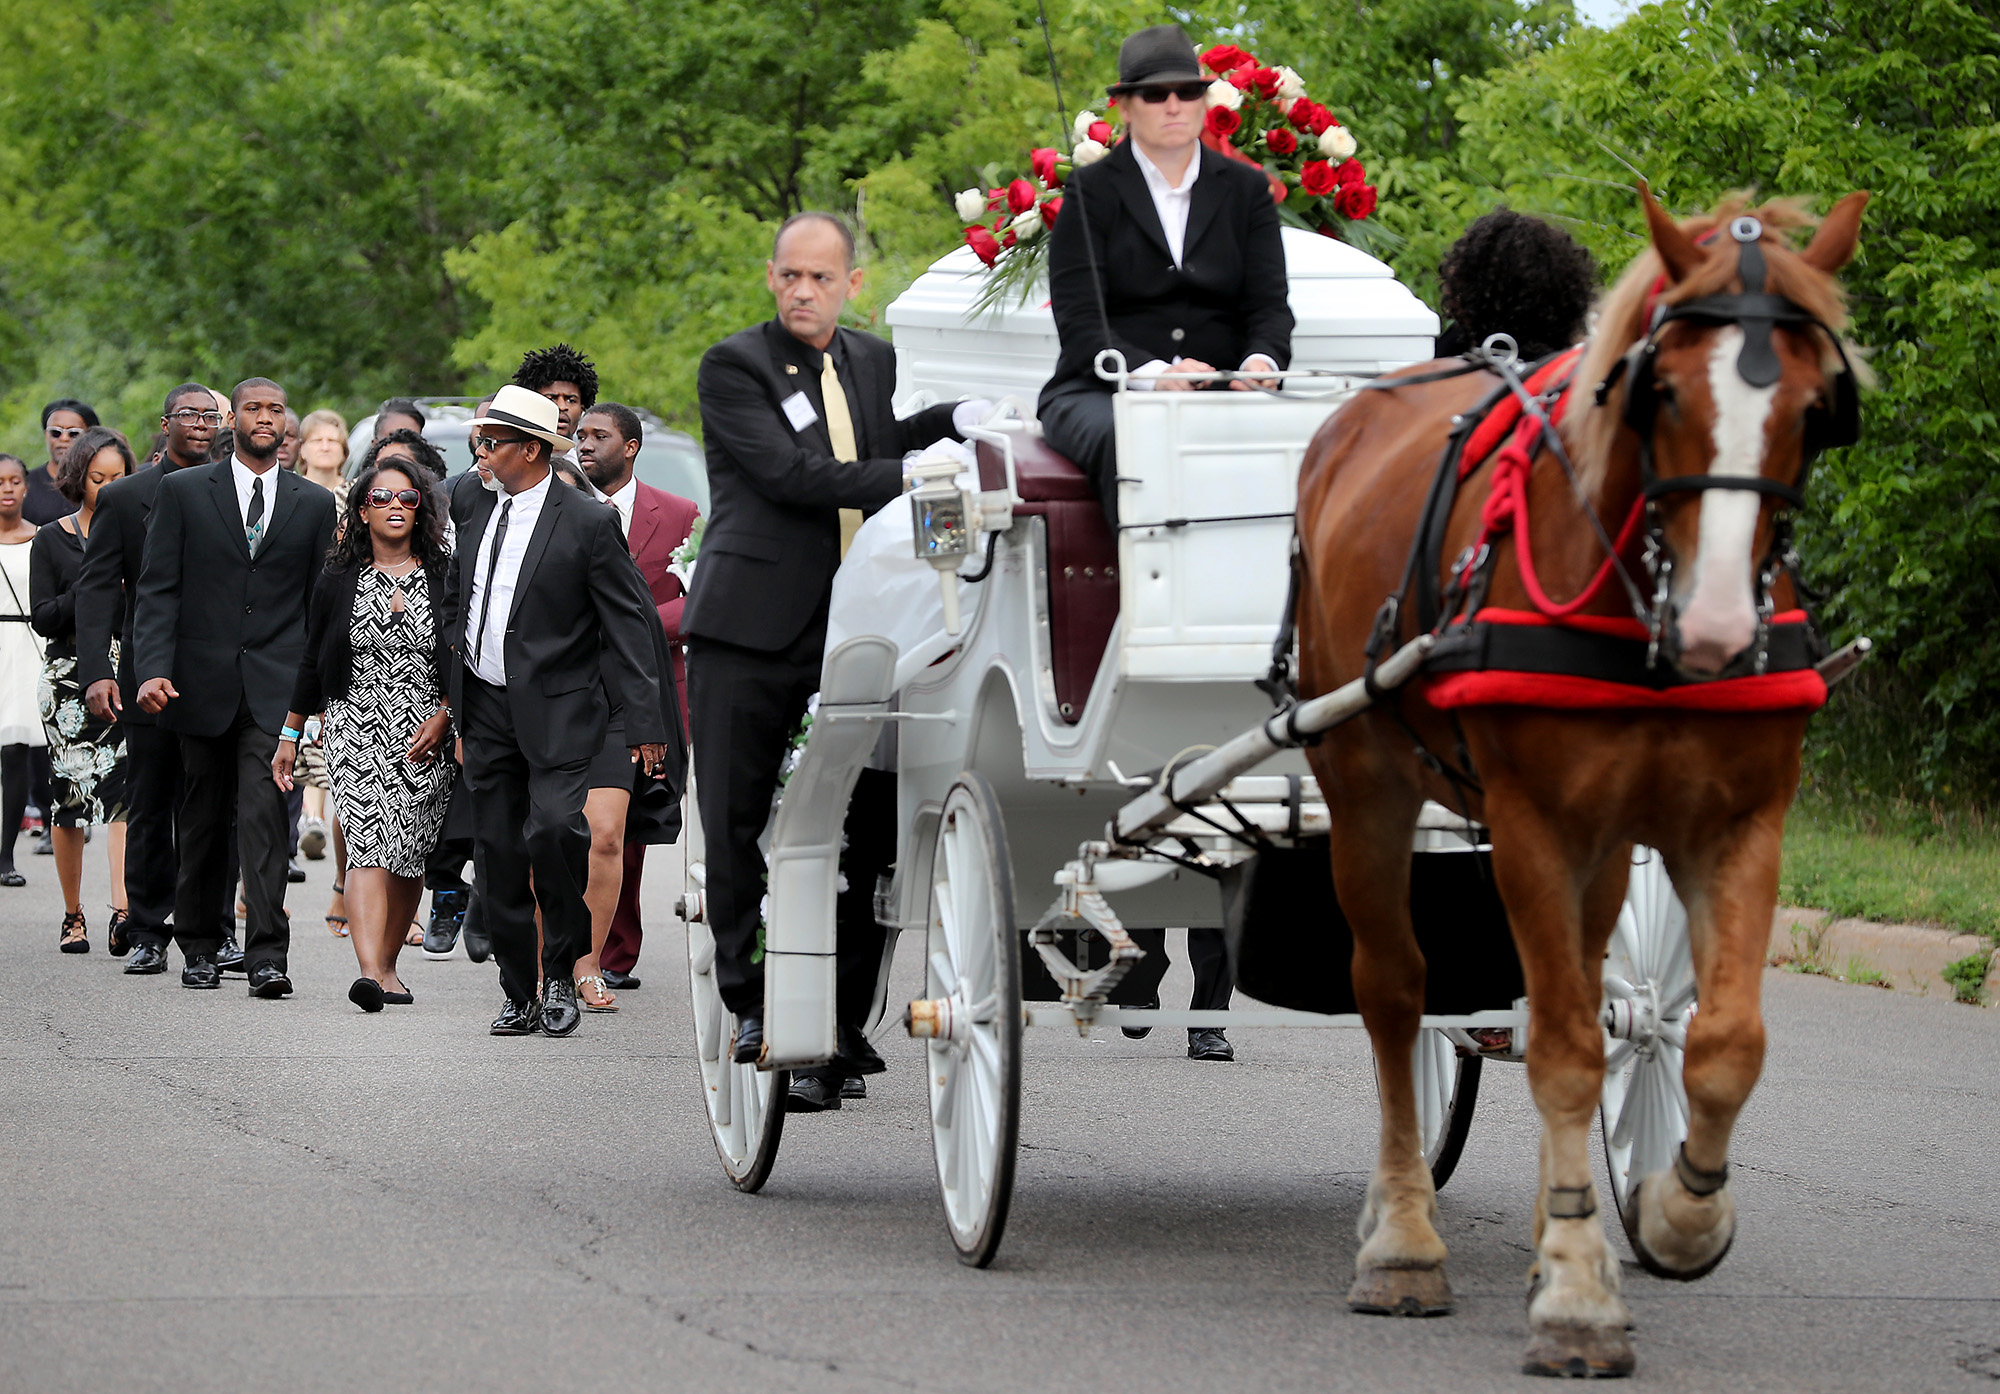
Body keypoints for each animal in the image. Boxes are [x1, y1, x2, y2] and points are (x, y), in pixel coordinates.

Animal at [1296, 182, 1872, 1368]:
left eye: (1814, 406)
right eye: (1661, 390)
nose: (1716, 626)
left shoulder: (1735, 825)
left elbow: (1717, 1041)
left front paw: (1674, 1214)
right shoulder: (1529, 824)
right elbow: (1559, 1048)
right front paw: (1573, 1291)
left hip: (1603, 849)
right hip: (1365, 785)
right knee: (1394, 992)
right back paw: (1404, 1238)